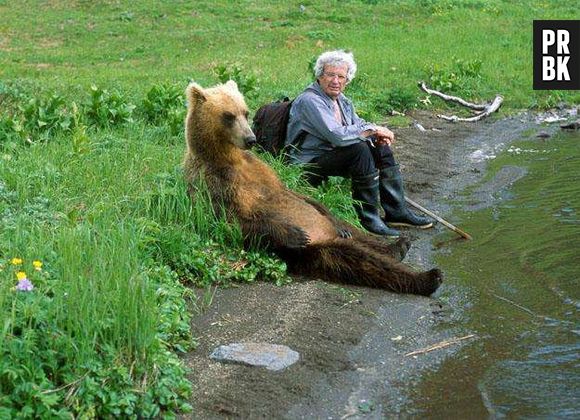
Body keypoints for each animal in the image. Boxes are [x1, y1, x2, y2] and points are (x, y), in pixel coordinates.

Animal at [184, 79, 442, 296]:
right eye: (228, 116)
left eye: (245, 112)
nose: (251, 139)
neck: (229, 159)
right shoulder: (214, 182)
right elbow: (229, 222)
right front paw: (295, 233)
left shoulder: (262, 171)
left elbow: (294, 193)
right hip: (316, 251)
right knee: (358, 260)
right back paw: (428, 277)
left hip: (331, 230)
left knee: (357, 232)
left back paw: (396, 245)